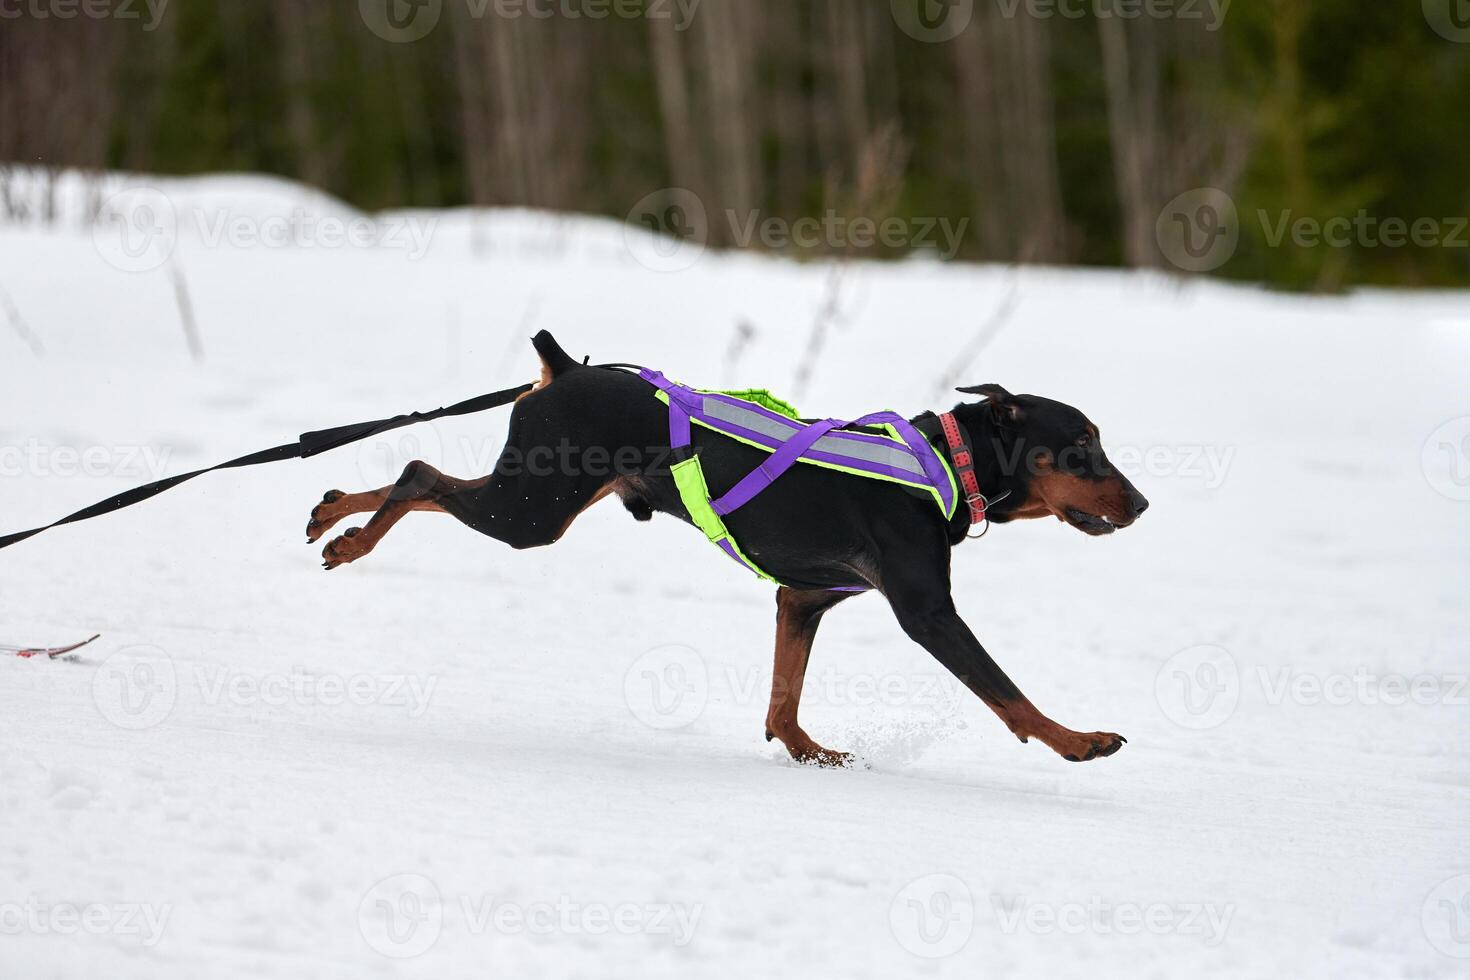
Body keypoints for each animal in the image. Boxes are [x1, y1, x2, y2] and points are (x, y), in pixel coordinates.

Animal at [307, 333, 1146, 769]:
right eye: (1082, 447)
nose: (1140, 503)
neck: (944, 464)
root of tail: (566, 368)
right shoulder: (928, 613)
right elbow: (1009, 694)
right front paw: (1078, 740)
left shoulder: (803, 598)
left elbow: (784, 696)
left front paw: (808, 750)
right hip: (531, 511)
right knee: (420, 475)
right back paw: (354, 539)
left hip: (533, 492)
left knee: (418, 477)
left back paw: (333, 518)